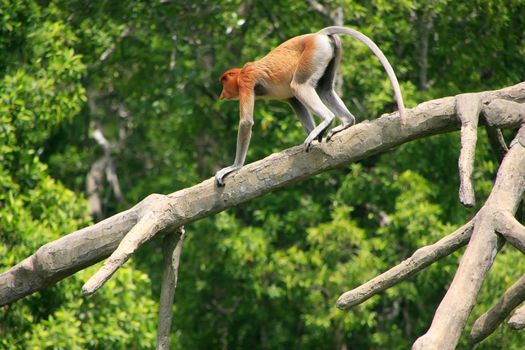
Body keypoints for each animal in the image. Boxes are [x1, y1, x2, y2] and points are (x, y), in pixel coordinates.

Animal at [215, 26, 404, 187]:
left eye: (224, 81)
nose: (222, 94)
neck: (240, 73)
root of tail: (317, 35)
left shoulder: (246, 81)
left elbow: (246, 122)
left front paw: (234, 167)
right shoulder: (287, 97)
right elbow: (295, 102)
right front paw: (315, 135)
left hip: (314, 54)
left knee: (299, 86)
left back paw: (328, 120)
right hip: (329, 55)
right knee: (324, 88)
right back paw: (345, 122)